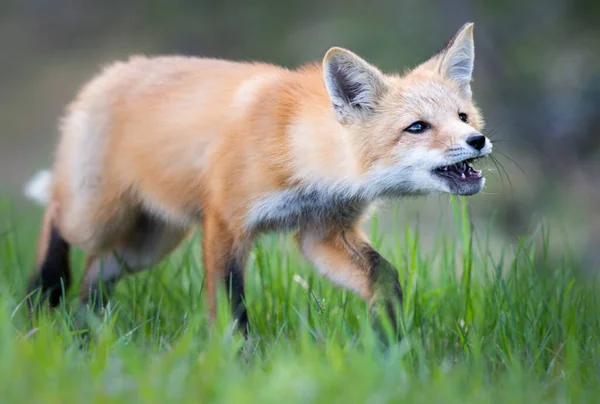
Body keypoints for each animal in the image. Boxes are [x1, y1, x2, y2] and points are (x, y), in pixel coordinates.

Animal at [24, 21, 492, 332]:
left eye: (462, 117)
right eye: (417, 127)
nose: (478, 140)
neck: (297, 156)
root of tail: (108, 72)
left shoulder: (322, 231)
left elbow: (383, 275)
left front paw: (391, 340)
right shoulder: (225, 222)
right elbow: (231, 309)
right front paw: (237, 363)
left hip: (146, 244)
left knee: (93, 276)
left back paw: (83, 331)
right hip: (97, 218)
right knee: (56, 216)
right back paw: (41, 295)